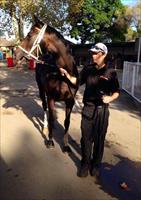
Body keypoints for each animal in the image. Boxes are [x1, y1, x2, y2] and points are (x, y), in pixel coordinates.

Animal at [15, 17, 79, 153]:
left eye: (29, 35)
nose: (16, 53)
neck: (63, 74)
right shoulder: (51, 98)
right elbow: (49, 116)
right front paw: (50, 140)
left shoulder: (70, 101)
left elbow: (67, 121)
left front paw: (66, 145)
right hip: (41, 90)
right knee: (45, 108)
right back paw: (45, 127)